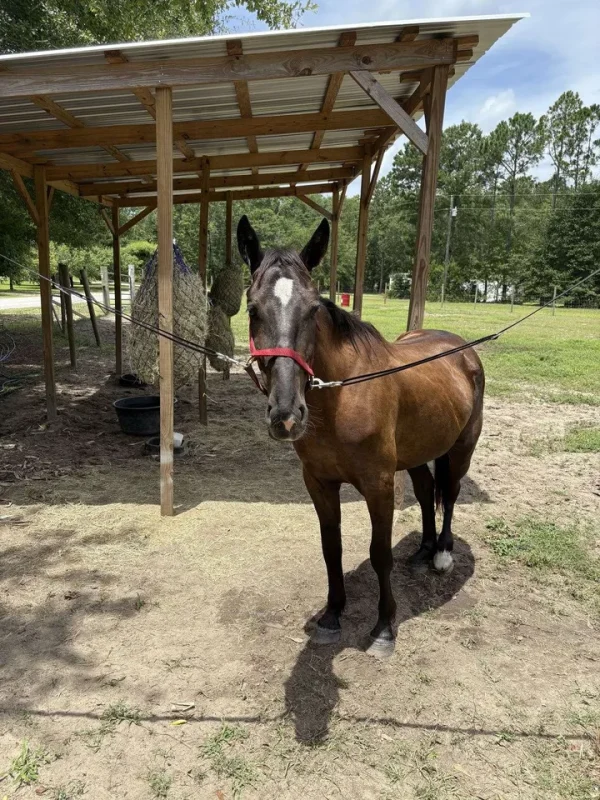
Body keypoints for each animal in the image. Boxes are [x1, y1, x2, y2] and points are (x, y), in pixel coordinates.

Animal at [238, 215, 485, 655]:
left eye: (313, 308)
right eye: (252, 308)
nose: (286, 415)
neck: (343, 396)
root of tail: (463, 349)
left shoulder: (379, 485)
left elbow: (379, 553)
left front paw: (384, 627)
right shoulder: (319, 483)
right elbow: (331, 547)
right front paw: (332, 615)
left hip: (460, 451)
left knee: (451, 493)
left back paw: (441, 554)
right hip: (417, 453)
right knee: (426, 491)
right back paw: (423, 550)